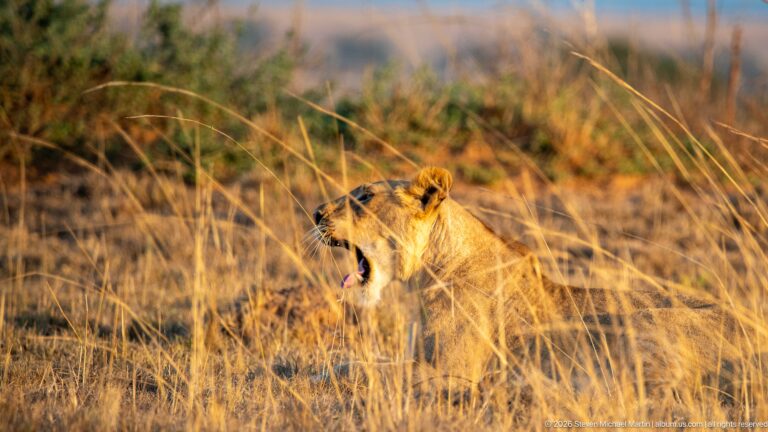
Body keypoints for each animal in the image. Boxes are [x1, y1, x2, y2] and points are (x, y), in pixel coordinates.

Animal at [313, 167, 742, 394]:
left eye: (365, 196)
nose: (316, 213)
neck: (425, 277)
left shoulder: (452, 370)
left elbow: (368, 368)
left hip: (635, 325)